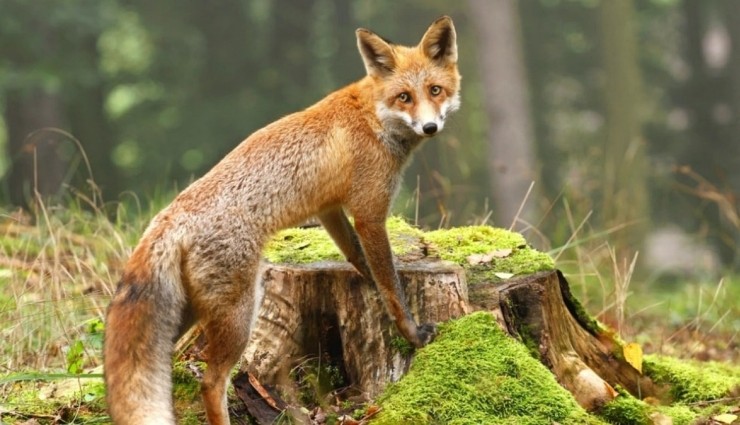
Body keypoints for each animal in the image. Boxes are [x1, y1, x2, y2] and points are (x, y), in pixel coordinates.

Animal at [105, 15, 462, 424]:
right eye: (404, 97)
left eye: (435, 90)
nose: (430, 127)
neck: (374, 115)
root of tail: (169, 215)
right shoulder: (370, 213)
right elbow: (392, 287)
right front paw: (411, 333)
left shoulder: (329, 210)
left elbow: (360, 260)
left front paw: (373, 287)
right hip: (239, 314)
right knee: (211, 384)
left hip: (188, 313)